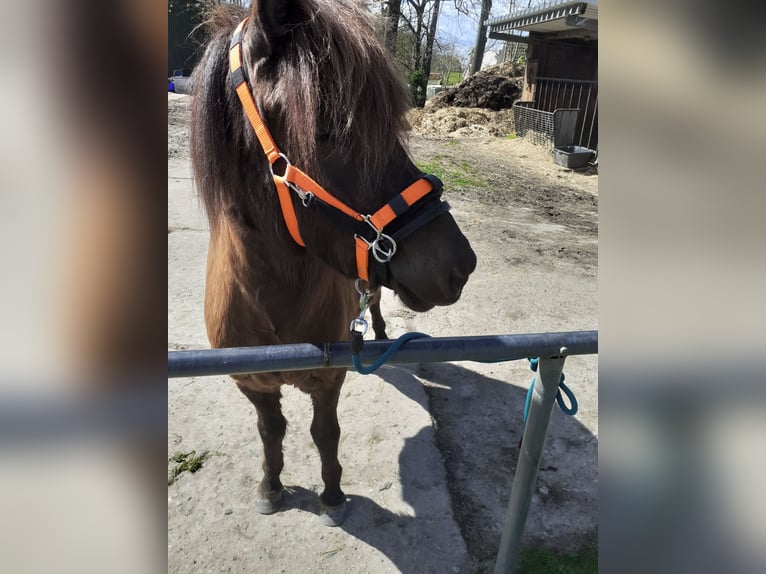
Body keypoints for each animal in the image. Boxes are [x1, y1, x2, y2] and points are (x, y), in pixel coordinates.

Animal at [190, 0, 474, 528]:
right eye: (327, 131)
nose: (461, 264)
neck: (271, 302)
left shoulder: (328, 378)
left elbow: (325, 434)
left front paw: (332, 495)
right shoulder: (252, 384)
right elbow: (271, 432)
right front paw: (271, 487)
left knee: (376, 301)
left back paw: (380, 334)